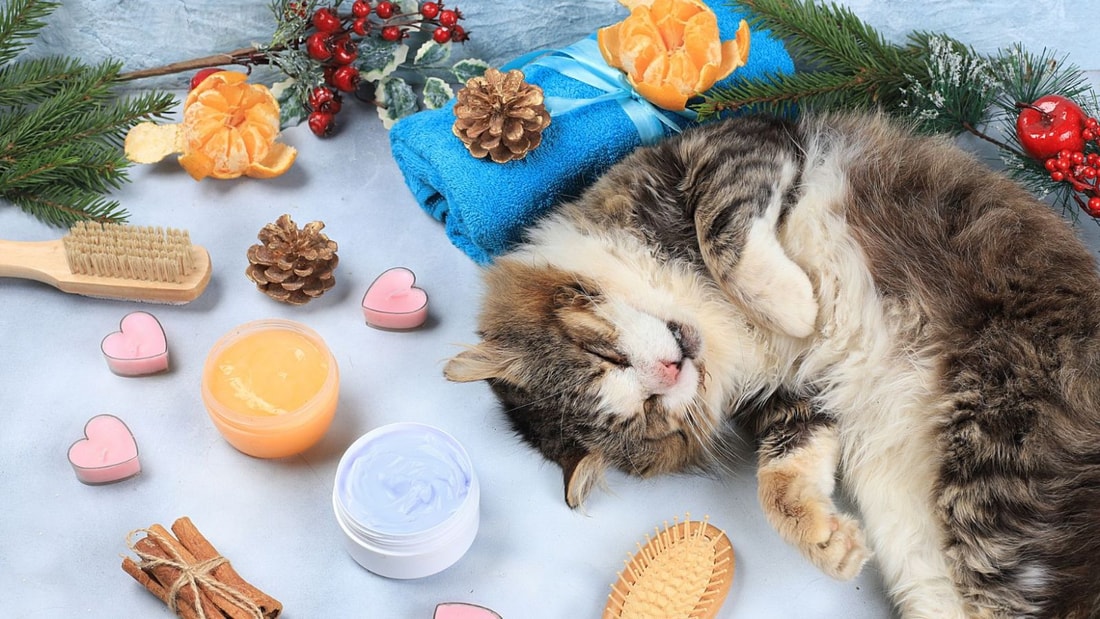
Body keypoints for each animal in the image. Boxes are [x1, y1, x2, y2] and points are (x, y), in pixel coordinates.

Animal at [442, 112, 1100, 619]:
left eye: (605, 356)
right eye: (650, 420)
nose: (670, 372)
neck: (712, 328)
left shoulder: (734, 146)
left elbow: (724, 237)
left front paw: (797, 306)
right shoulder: (793, 400)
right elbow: (780, 482)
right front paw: (829, 542)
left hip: (993, 464)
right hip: (921, 528)